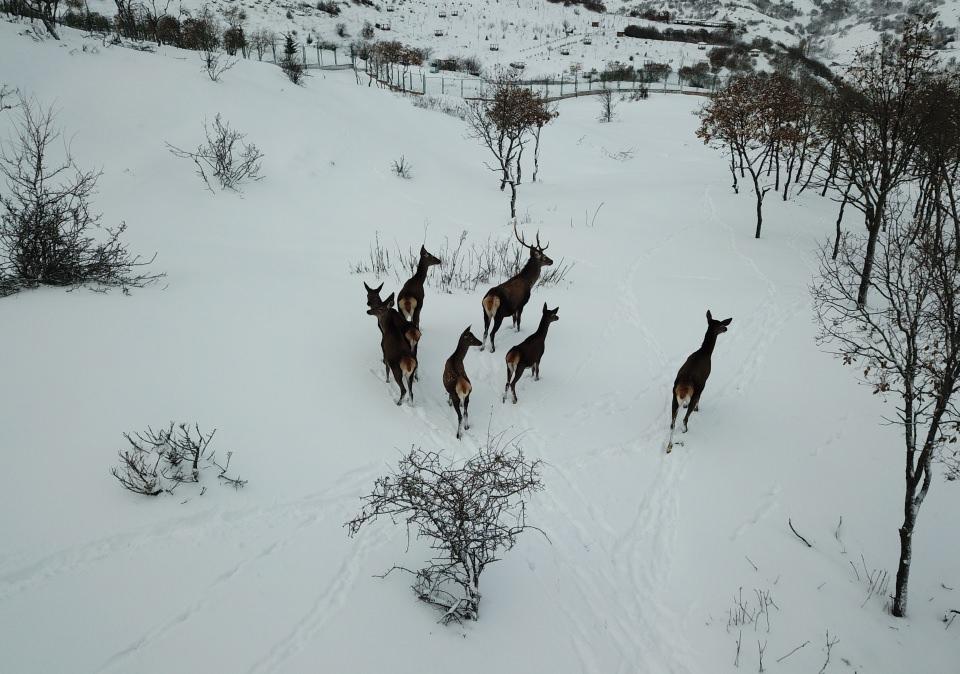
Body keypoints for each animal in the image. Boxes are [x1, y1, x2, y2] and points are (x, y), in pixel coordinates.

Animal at [480, 223, 556, 354]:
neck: (529, 282)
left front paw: (513, 329)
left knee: (485, 332)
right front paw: (518, 333)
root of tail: (490, 298)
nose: (551, 261)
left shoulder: (513, 308)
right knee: (491, 333)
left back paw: (482, 348)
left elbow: (514, 320)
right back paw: (492, 349)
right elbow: (519, 320)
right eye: (543, 256)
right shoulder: (521, 304)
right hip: (498, 315)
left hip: (485, 313)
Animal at [672, 310, 732, 452]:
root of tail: (684, 384)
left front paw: (685, 404)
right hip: (695, 390)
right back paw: (686, 430)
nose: (726, 328)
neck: (706, 353)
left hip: (673, 394)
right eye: (721, 324)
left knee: (672, 422)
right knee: (684, 419)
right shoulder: (704, 382)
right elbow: (699, 399)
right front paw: (697, 409)